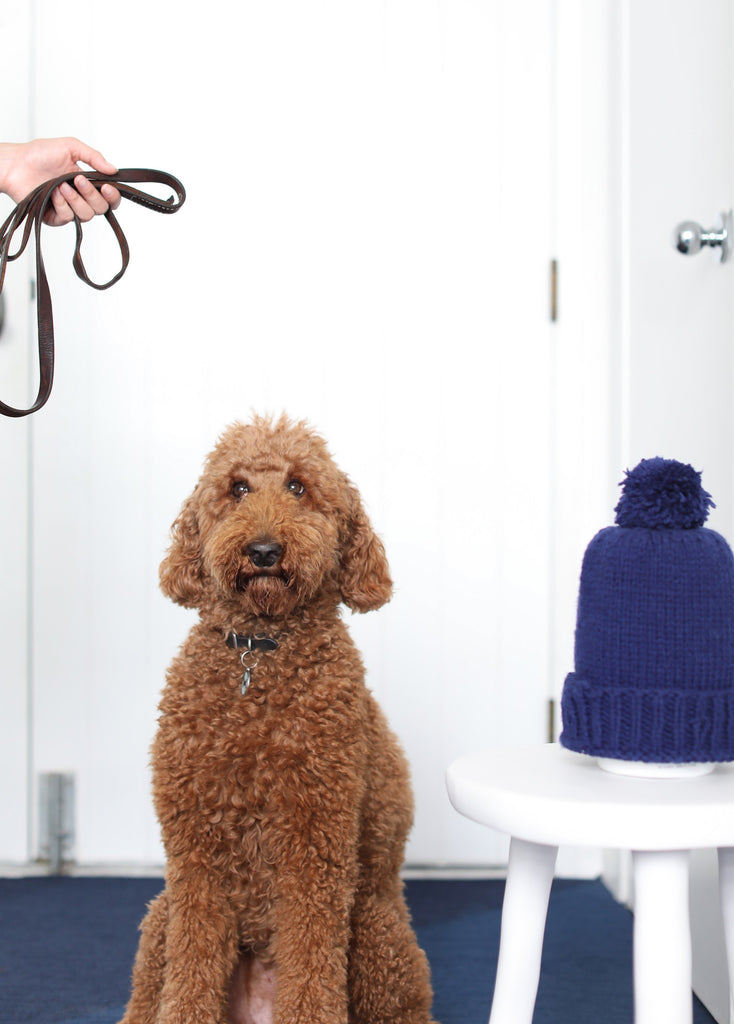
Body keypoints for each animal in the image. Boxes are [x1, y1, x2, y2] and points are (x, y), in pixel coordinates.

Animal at [117, 413, 432, 1024]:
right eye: (238, 488)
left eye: (298, 487)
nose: (263, 550)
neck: (259, 653)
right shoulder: (195, 851)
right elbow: (192, 967)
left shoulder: (316, 839)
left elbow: (311, 962)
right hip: (160, 915)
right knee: (148, 991)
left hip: (375, 932)